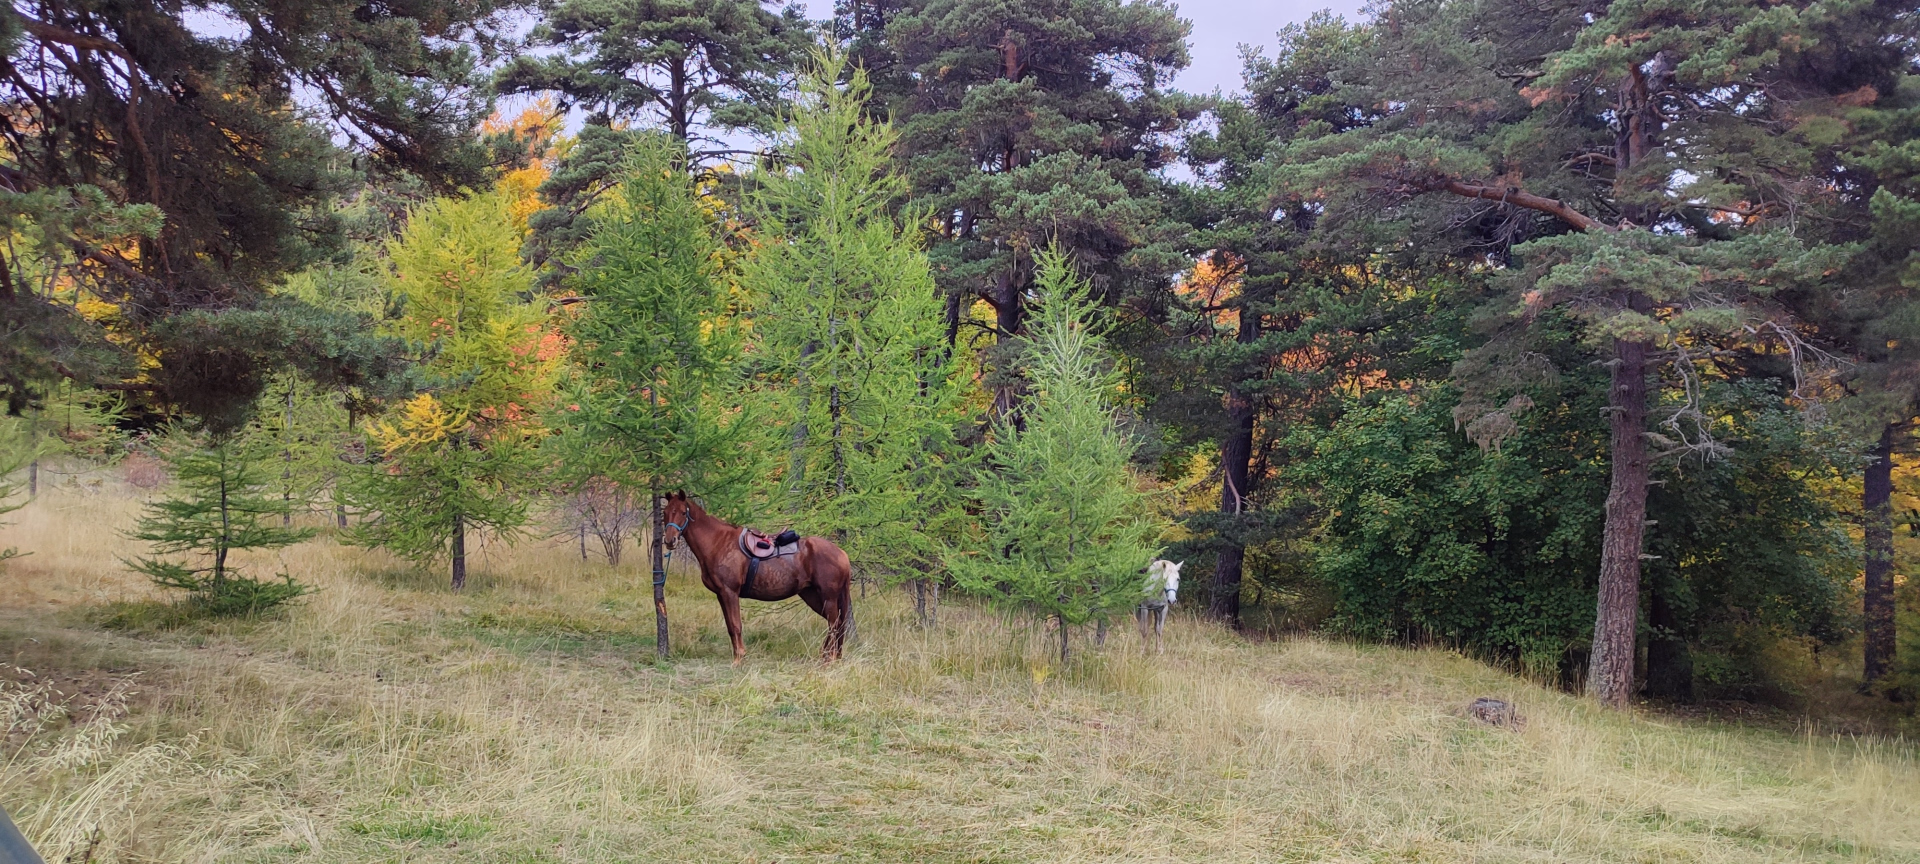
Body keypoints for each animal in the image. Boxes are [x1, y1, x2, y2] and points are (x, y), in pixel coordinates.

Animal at [660, 491, 854, 665]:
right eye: (665, 512)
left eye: (683, 512)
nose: (670, 541)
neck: (718, 543)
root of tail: (842, 554)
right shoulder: (721, 595)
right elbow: (730, 626)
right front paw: (737, 656)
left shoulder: (730, 592)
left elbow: (736, 625)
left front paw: (739, 659)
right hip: (812, 595)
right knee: (834, 624)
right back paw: (826, 655)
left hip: (828, 597)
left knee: (834, 623)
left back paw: (829, 658)